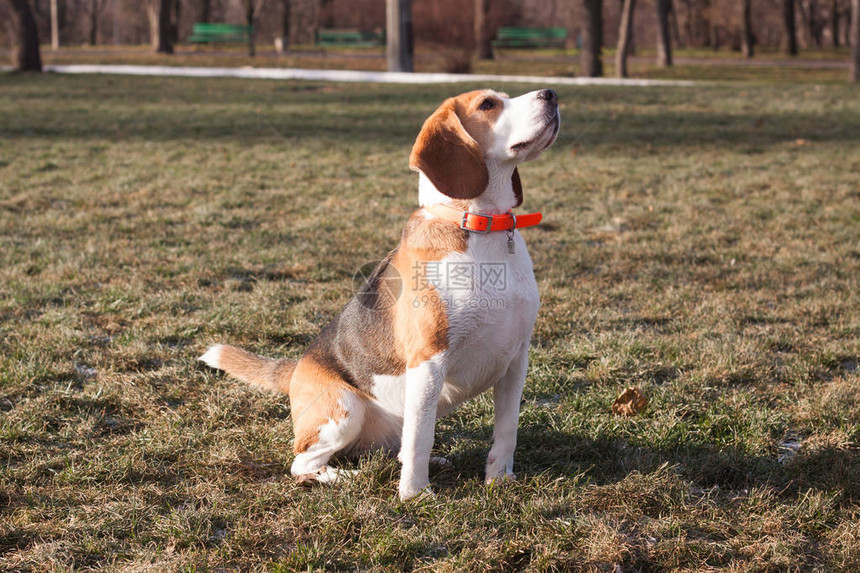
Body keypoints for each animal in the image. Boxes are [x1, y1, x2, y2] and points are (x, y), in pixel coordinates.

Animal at [202, 87, 564, 498]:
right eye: (488, 104)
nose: (551, 94)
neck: (482, 226)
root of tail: (296, 369)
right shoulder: (428, 361)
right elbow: (421, 437)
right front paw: (415, 496)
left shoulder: (515, 359)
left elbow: (506, 430)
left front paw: (499, 480)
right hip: (345, 410)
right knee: (304, 463)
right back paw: (348, 477)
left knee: (396, 445)